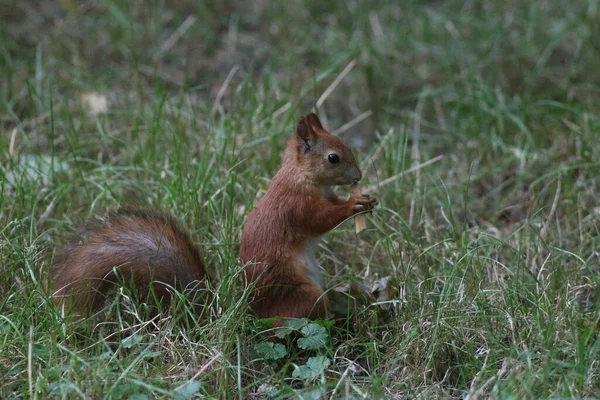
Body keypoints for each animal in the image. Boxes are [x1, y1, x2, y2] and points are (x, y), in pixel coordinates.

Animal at [54, 111, 378, 322]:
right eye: (333, 157)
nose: (358, 176)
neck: (301, 176)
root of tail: (249, 315)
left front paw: (367, 198)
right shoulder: (296, 206)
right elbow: (320, 219)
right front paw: (353, 205)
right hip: (303, 297)